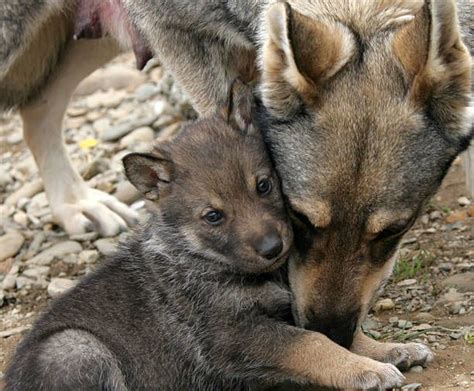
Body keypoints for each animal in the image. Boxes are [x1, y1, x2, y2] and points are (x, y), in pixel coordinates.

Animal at [0, 0, 470, 386]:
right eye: (300, 218)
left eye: (394, 231)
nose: (334, 330)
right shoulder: (176, 34)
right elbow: (304, 342)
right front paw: (356, 363)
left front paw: (376, 348)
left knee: (38, 105)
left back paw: (78, 203)